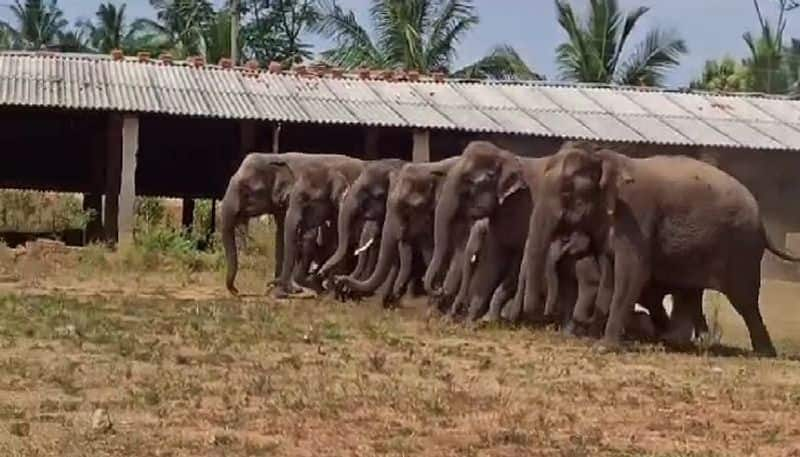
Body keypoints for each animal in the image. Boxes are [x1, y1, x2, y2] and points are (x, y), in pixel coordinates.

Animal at [424, 141, 552, 322]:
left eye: (469, 181)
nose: (438, 288)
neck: (505, 155)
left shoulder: (523, 208)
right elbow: (493, 259)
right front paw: (472, 322)